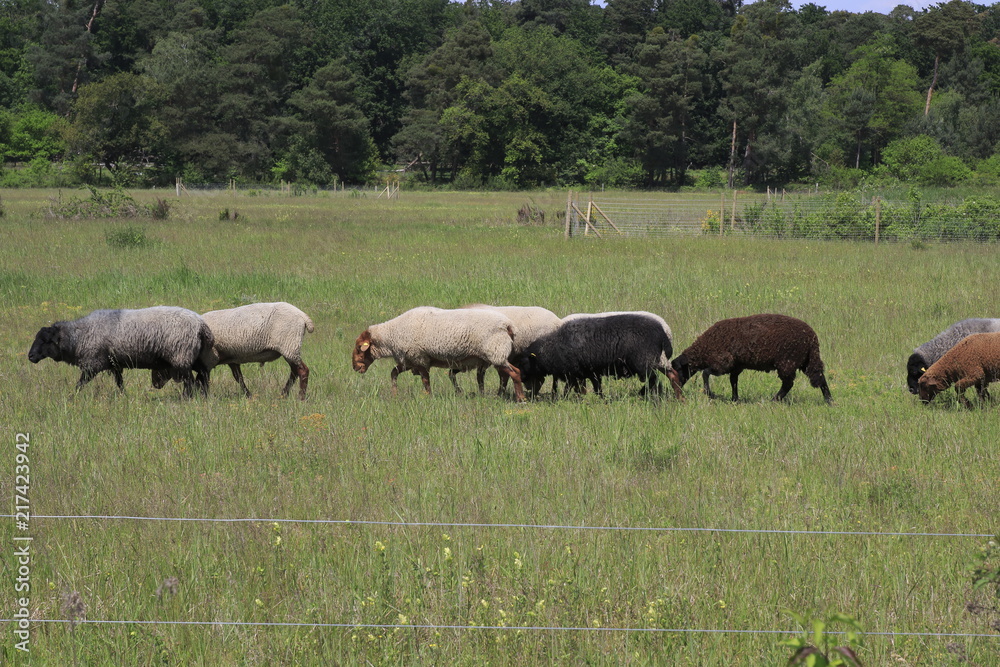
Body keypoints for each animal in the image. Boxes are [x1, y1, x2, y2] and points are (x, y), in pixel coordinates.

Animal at [27, 306, 213, 396]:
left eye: (44, 340)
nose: (30, 356)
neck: (78, 337)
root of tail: (201, 324)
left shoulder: (92, 364)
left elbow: (80, 384)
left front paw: (72, 397)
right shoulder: (114, 364)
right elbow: (119, 383)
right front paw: (125, 397)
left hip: (181, 355)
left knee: (189, 381)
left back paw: (187, 398)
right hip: (193, 356)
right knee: (202, 375)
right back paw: (203, 395)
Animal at [151, 304, 312, 402]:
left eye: (160, 364)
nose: (155, 384)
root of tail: (304, 317)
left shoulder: (209, 359)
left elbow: (202, 380)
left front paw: (201, 397)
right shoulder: (231, 359)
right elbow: (238, 378)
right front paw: (248, 395)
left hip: (289, 345)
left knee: (302, 370)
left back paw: (301, 398)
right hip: (290, 348)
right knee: (294, 371)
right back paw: (284, 394)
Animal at [352, 306, 528, 402]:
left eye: (360, 347)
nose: (355, 367)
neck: (392, 334)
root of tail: (508, 325)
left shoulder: (419, 358)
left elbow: (425, 381)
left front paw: (428, 397)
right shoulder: (410, 360)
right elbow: (393, 373)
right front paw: (394, 395)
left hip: (496, 351)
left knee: (514, 372)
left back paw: (521, 399)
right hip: (496, 354)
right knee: (506, 375)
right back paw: (502, 395)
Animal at [512, 314, 684, 402]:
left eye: (524, 362)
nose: (521, 377)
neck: (552, 347)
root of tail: (662, 335)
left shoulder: (572, 372)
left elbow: (570, 388)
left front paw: (565, 399)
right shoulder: (589, 372)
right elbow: (594, 387)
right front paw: (598, 398)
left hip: (644, 362)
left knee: (653, 379)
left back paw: (647, 394)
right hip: (657, 360)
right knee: (672, 375)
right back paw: (679, 397)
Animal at [672, 314, 836, 404]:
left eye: (677, 370)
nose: (676, 390)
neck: (704, 348)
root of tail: (812, 337)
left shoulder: (723, 362)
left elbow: (705, 373)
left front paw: (710, 394)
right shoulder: (736, 366)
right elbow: (733, 381)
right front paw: (734, 399)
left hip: (787, 361)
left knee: (788, 384)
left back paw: (774, 400)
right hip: (805, 360)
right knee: (819, 377)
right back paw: (829, 401)